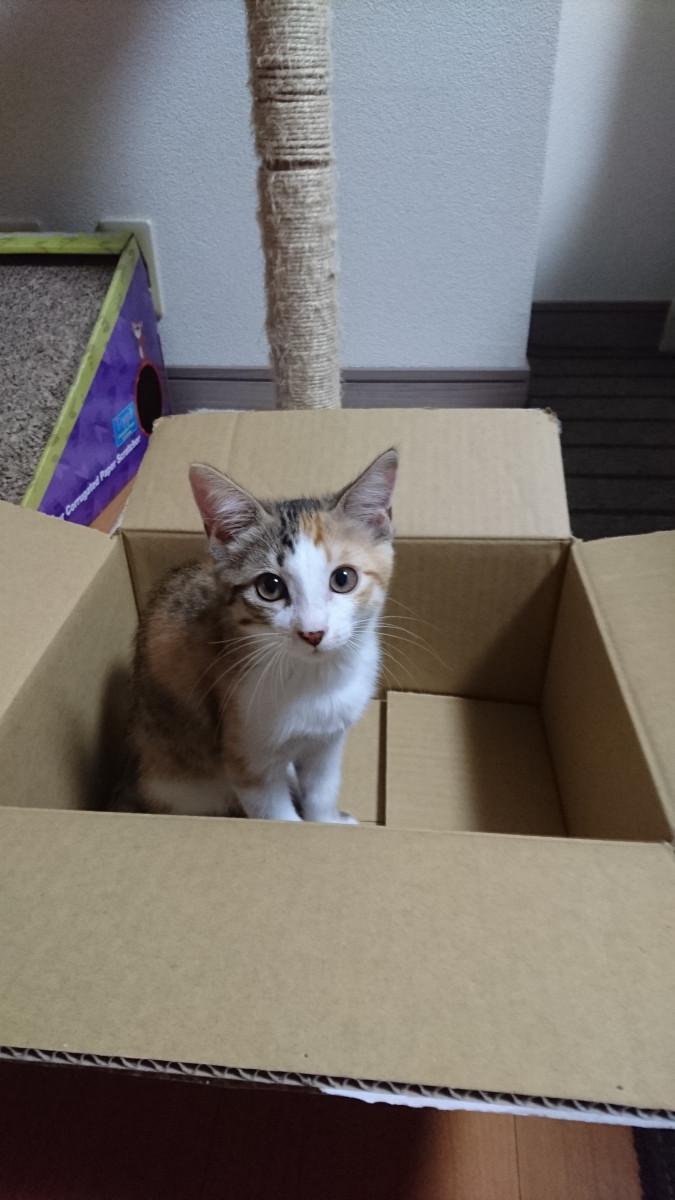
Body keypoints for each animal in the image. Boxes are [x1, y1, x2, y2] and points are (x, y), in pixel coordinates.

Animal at [124, 447, 398, 822]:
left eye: (344, 578)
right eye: (270, 587)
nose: (313, 633)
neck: (314, 680)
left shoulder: (327, 742)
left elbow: (322, 789)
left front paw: (327, 821)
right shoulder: (246, 754)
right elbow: (277, 816)